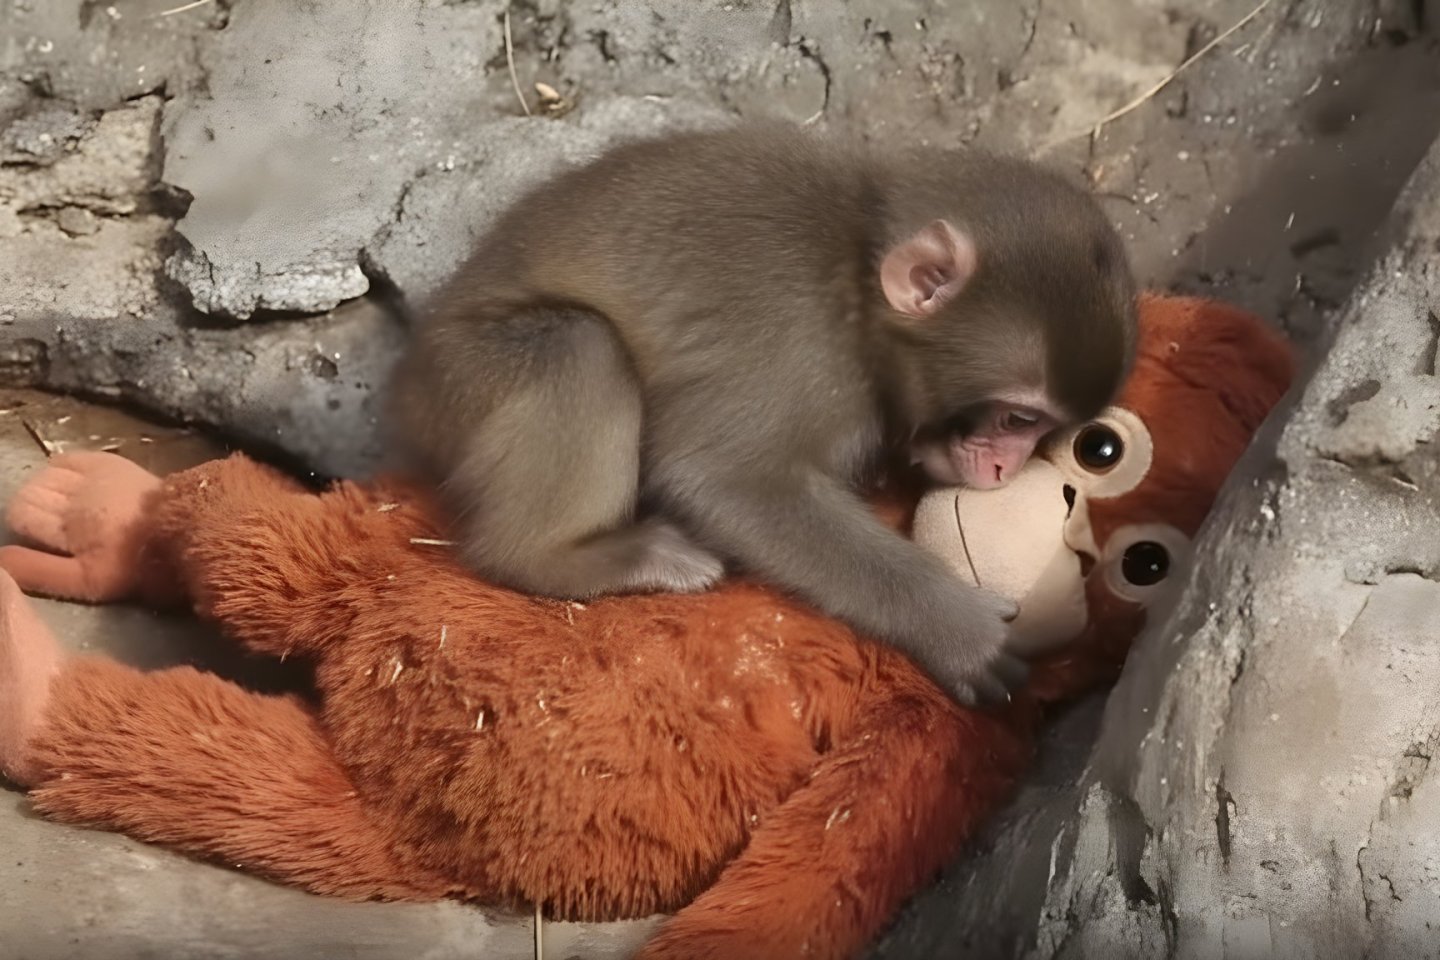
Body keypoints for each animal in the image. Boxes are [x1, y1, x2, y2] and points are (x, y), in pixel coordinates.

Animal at [384, 122, 1137, 704]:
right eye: (1017, 418)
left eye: (1047, 430)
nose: (1007, 465)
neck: (857, 282)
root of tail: (409, 388)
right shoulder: (798, 350)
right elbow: (723, 478)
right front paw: (959, 631)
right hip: (465, 382)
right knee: (579, 348)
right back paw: (559, 559)